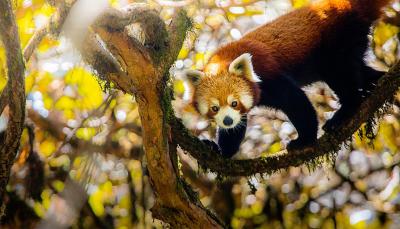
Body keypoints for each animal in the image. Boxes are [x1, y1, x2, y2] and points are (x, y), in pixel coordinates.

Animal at [184, 0, 390, 157]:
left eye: (234, 103)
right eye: (214, 108)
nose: (226, 121)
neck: (224, 58)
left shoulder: (269, 78)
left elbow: (296, 102)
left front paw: (304, 140)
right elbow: (236, 129)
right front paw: (220, 149)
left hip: (338, 38)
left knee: (340, 74)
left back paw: (345, 111)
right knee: (358, 69)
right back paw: (376, 83)